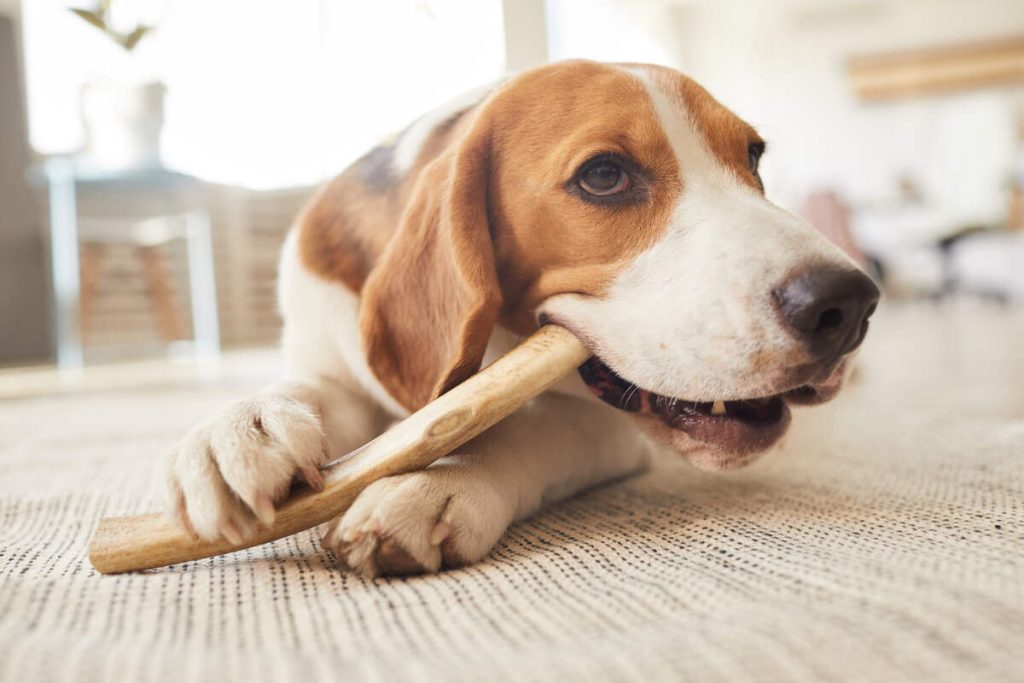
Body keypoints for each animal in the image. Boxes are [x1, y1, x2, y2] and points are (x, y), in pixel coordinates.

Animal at [163, 61, 876, 581]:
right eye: (604, 175)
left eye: (753, 157)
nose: (849, 304)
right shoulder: (328, 361)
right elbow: (304, 393)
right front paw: (239, 430)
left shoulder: (600, 426)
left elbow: (526, 427)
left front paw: (435, 482)